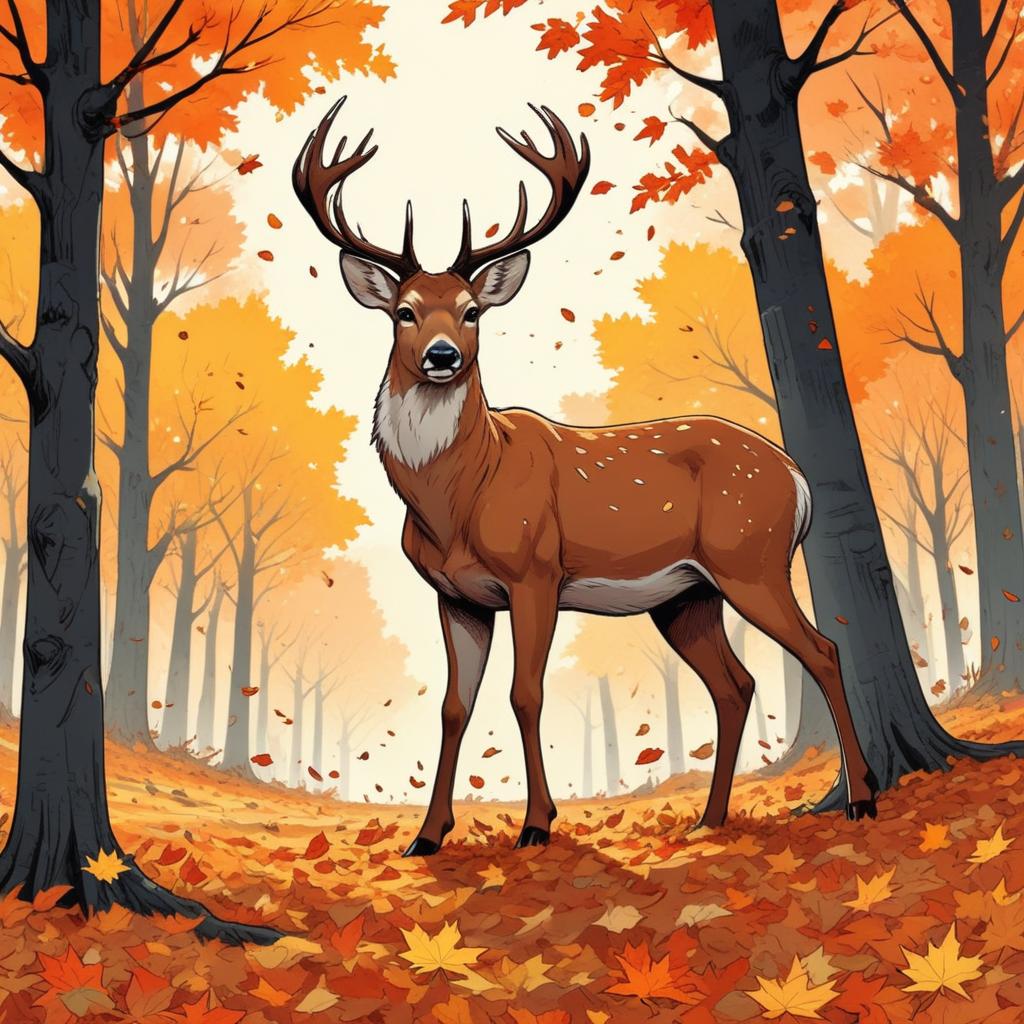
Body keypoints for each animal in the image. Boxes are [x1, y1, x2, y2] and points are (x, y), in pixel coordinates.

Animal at [293, 97, 879, 856]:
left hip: (752, 558)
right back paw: (709, 818)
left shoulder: (536, 570)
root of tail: (796, 476)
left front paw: (537, 825)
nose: (443, 356)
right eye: (404, 312)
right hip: (687, 596)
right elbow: (455, 706)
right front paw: (428, 836)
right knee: (736, 683)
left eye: (473, 311)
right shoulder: (456, 596)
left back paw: (861, 797)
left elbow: (525, 694)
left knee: (824, 650)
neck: (455, 500)